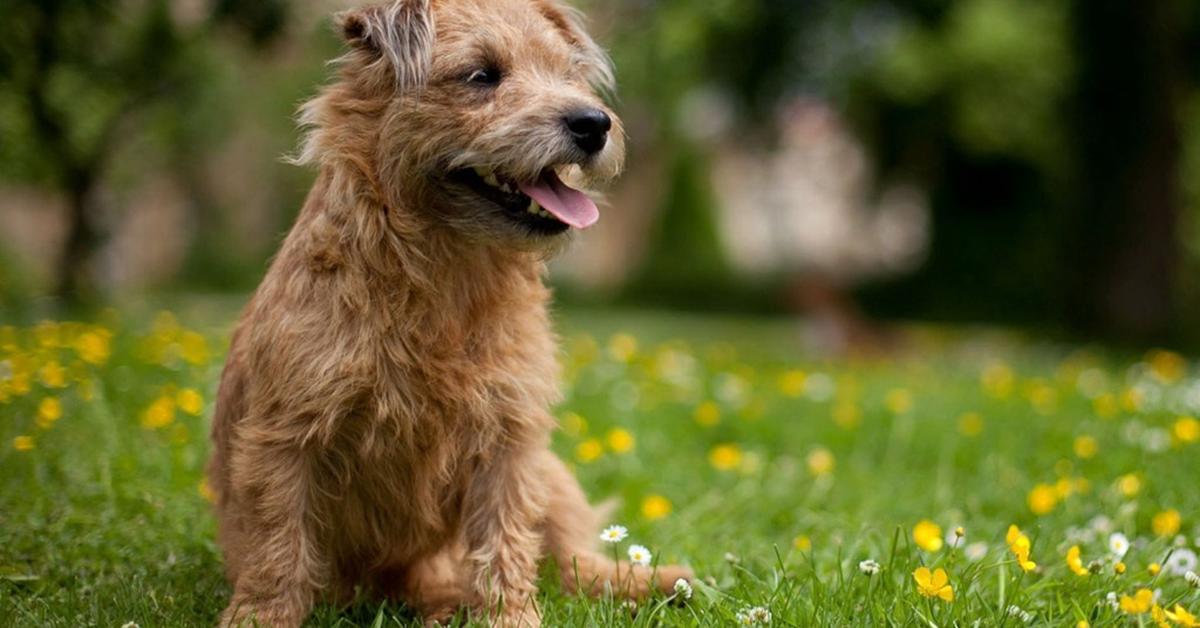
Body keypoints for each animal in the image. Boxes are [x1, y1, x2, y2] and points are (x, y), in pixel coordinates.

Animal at [208, 1, 696, 628]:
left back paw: (658, 580)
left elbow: (507, 543)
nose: (593, 123)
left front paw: (511, 617)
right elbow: (277, 542)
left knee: (572, 562)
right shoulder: (285, 435)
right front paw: (261, 616)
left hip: (552, 472)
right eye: (482, 75)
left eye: (568, 73)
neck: (445, 276)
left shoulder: (509, 439)